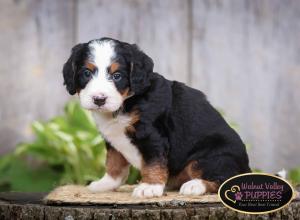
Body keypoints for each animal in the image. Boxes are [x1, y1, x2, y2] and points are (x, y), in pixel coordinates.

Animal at [61, 37, 251, 198]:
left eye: (117, 76)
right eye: (87, 73)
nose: (99, 99)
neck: (127, 101)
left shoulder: (151, 135)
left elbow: (152, 162)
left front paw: (149, 187)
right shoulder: (112, 138)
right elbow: (114, 163)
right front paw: (106, 183)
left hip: (213, 157)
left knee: (222, 179)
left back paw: (195, 185)